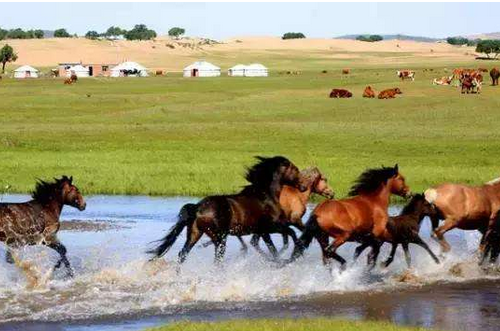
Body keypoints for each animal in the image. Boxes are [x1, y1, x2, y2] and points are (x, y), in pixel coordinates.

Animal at [147, 156, 308, 264]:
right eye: (295, 169)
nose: (303, 187)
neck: (265, 195)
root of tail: (198, 207)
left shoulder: (262, 231)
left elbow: (273, 248)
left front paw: (280, 260)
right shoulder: (270, 227)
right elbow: (290, 233)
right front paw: (296, 254)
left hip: (194, 234)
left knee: (183, 254)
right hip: (219, 238)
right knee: (217, 259)